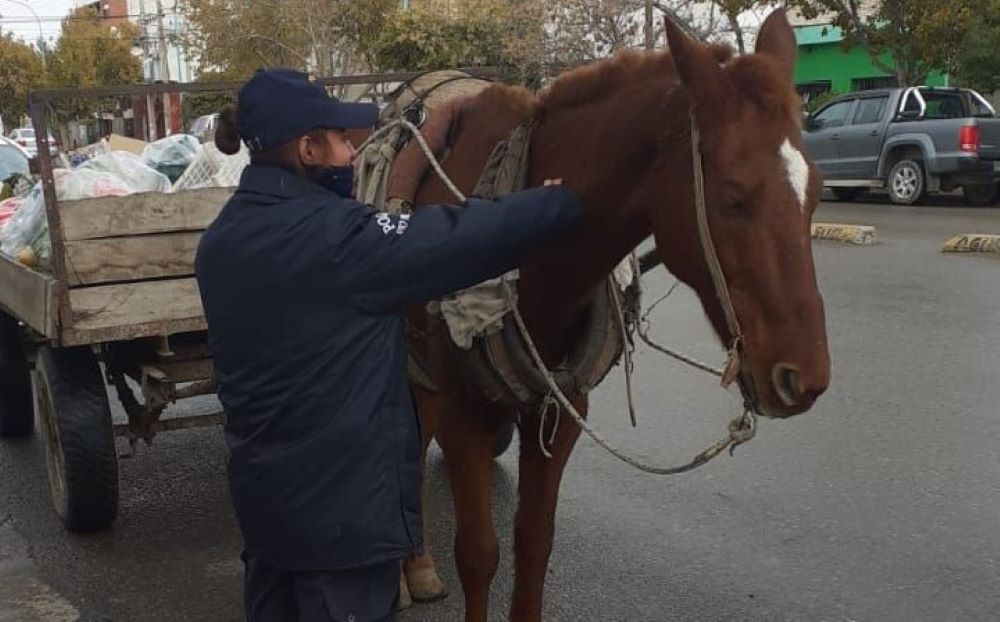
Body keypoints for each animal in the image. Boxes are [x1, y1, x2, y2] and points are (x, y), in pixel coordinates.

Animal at [400, 10, 831, 621]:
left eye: (816, 192)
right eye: (733, 197)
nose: (805, 377)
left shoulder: (560, 411)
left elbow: (534, 544)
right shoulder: (462, 415)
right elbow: (479, 555)